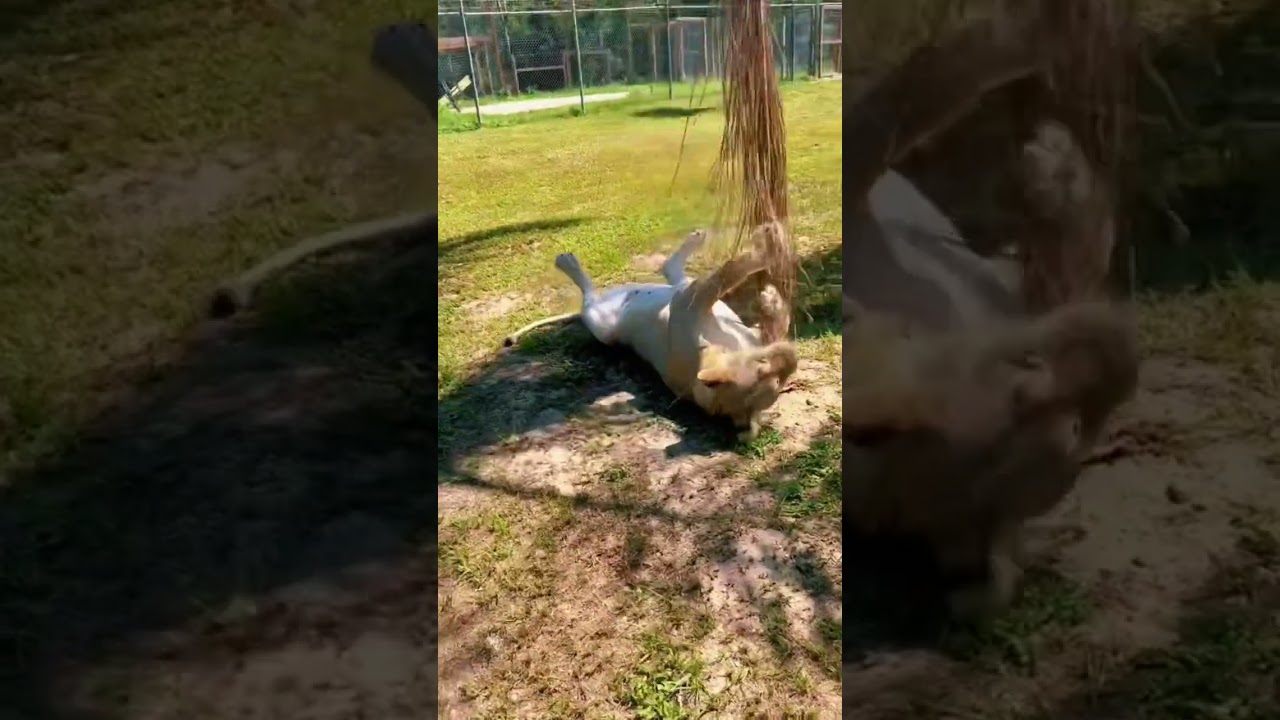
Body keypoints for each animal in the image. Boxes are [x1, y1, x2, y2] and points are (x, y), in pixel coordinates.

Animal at [504, 228, 799, 441]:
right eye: (762, 366)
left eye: (774, 377)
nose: (788, 358)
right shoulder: (692, 303)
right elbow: (730, 280)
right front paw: (771, 291)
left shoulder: (689, 301)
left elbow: (725, 275)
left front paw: (768, 244)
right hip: (642, 305)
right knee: (669, 271)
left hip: (605, 326)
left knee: (601, 295)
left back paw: (568, 263)